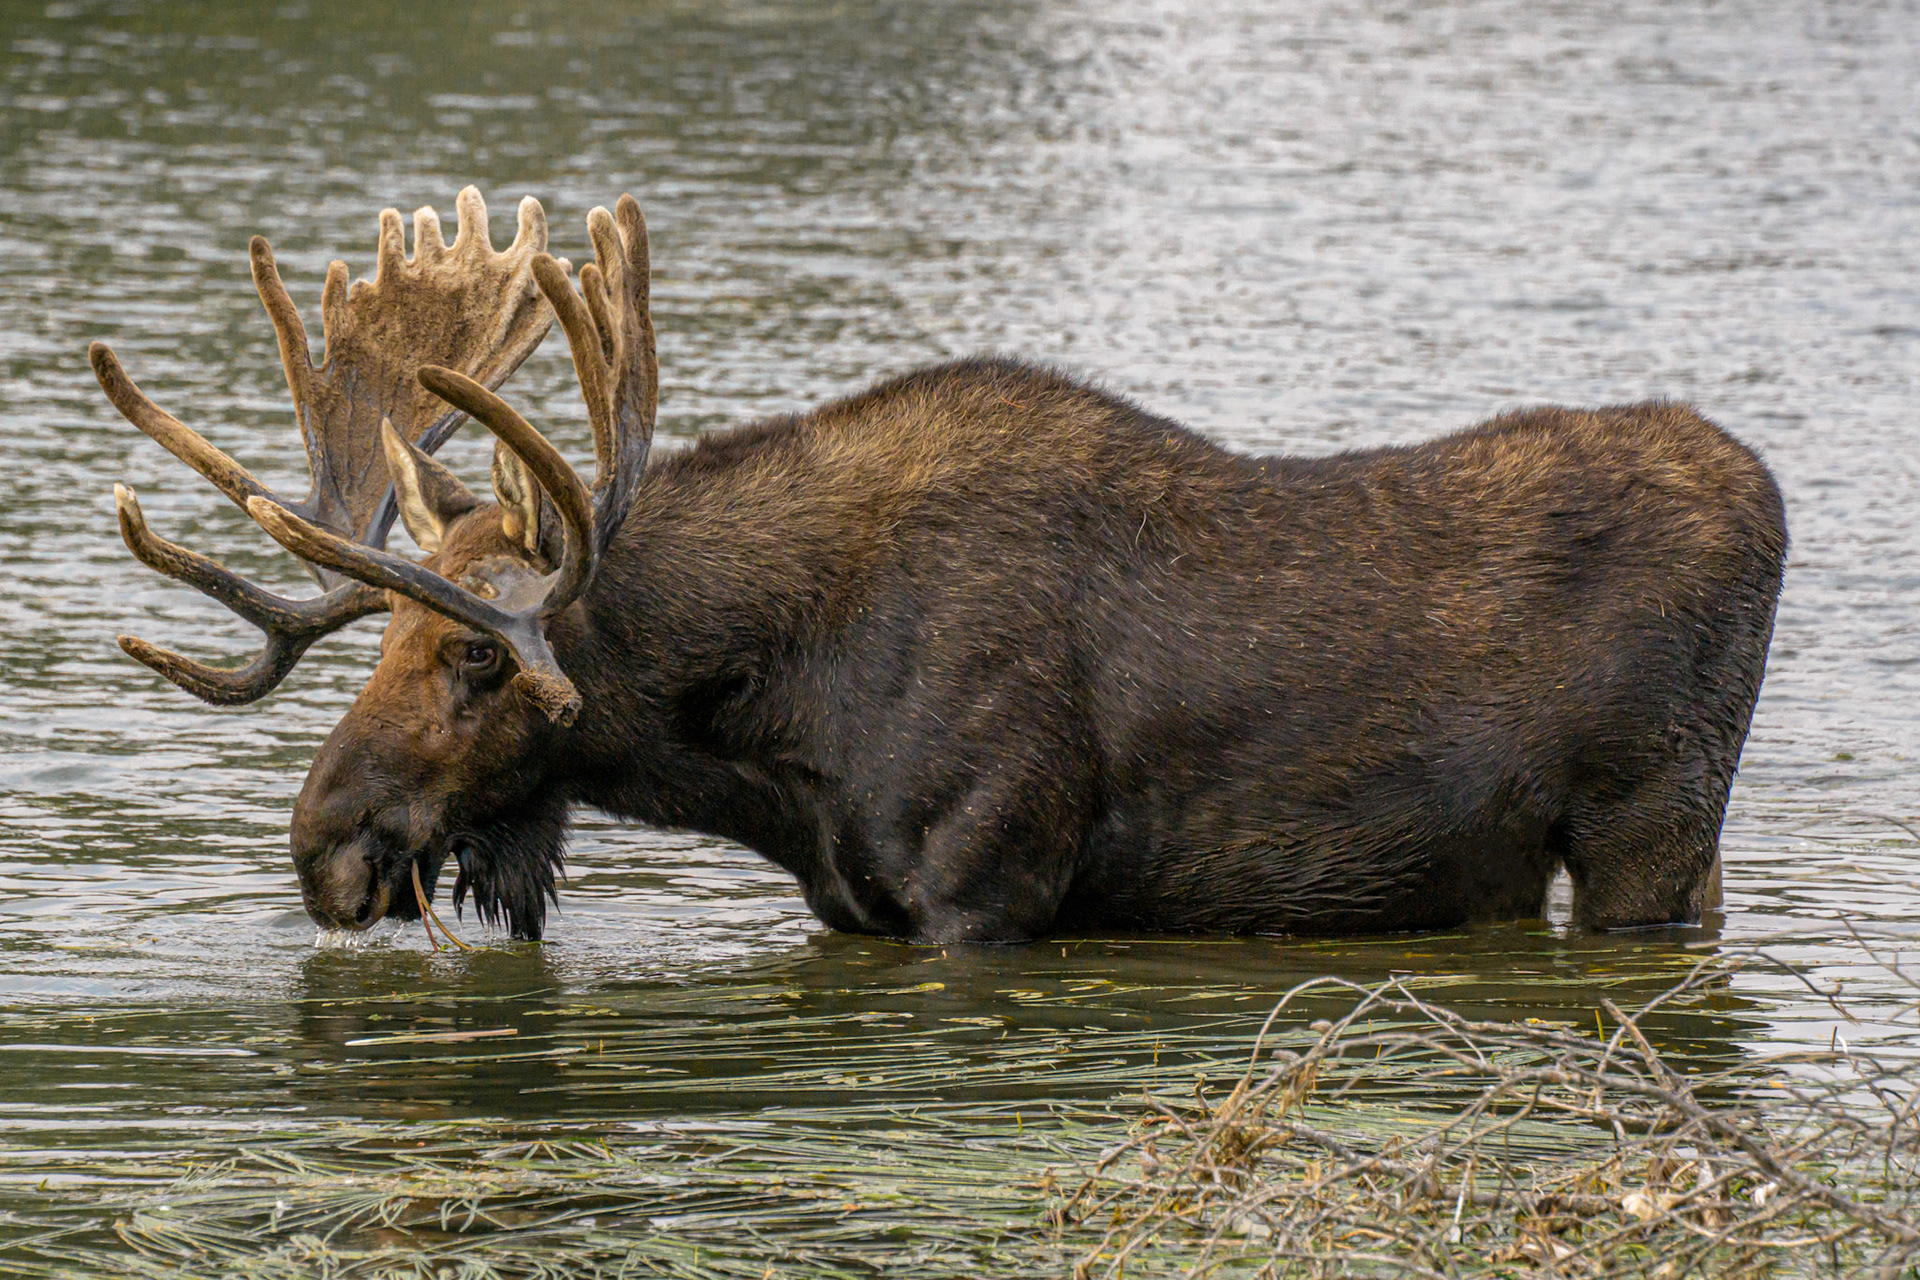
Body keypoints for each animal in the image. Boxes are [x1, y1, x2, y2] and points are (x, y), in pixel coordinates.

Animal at [93, 188, 1788, 945]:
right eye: (376, 634)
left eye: (472, 653)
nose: (320, 841)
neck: (766, 744)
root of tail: (1770, 495)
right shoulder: (853, 908)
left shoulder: (990, 881)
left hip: (1646, 824)